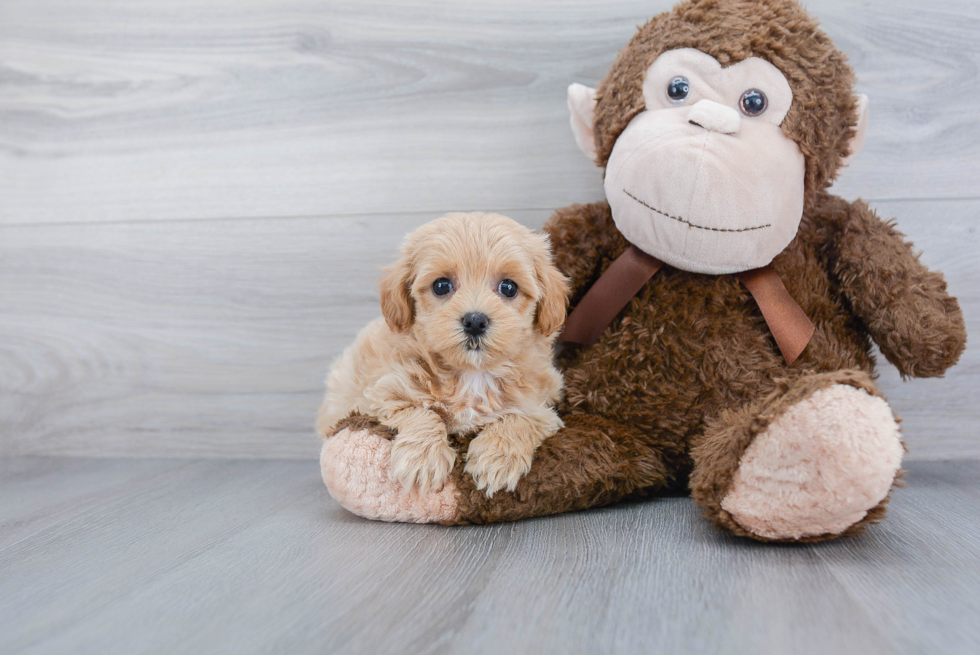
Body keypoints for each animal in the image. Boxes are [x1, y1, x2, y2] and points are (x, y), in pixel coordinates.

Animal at [318, 213, 572, 494]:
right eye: (441, 286)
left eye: (508, 287)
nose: (475, 321)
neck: (472, 374)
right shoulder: (380, 393)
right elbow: (420, 412)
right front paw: (423, 460)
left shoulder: (540, 407)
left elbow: (520, 419)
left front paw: (497, 459)